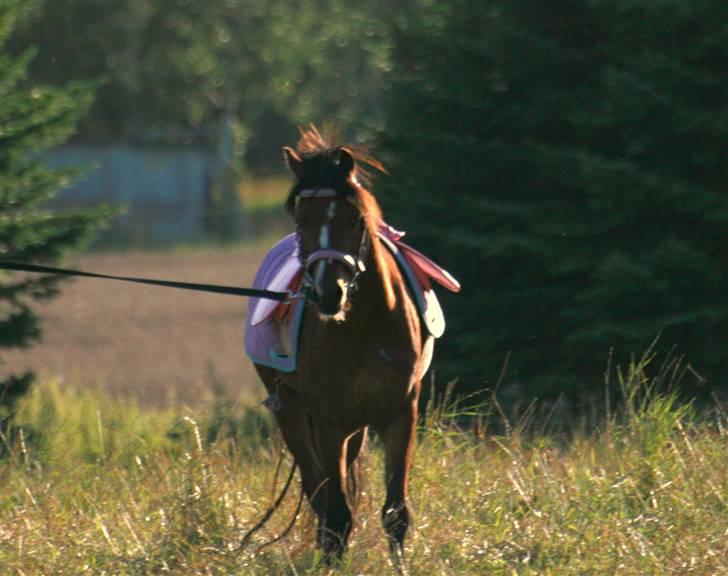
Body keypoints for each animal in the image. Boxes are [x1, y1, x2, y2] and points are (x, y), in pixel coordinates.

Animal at [253, 127, 430, 568]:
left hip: (356, 429)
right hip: (292, 411)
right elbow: (335, 513)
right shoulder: (328, 422)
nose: (328, 293)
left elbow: (395, 513)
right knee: (318, 493)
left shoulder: (401, 415)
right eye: (301, 221)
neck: (367, 324)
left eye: (354, 218)